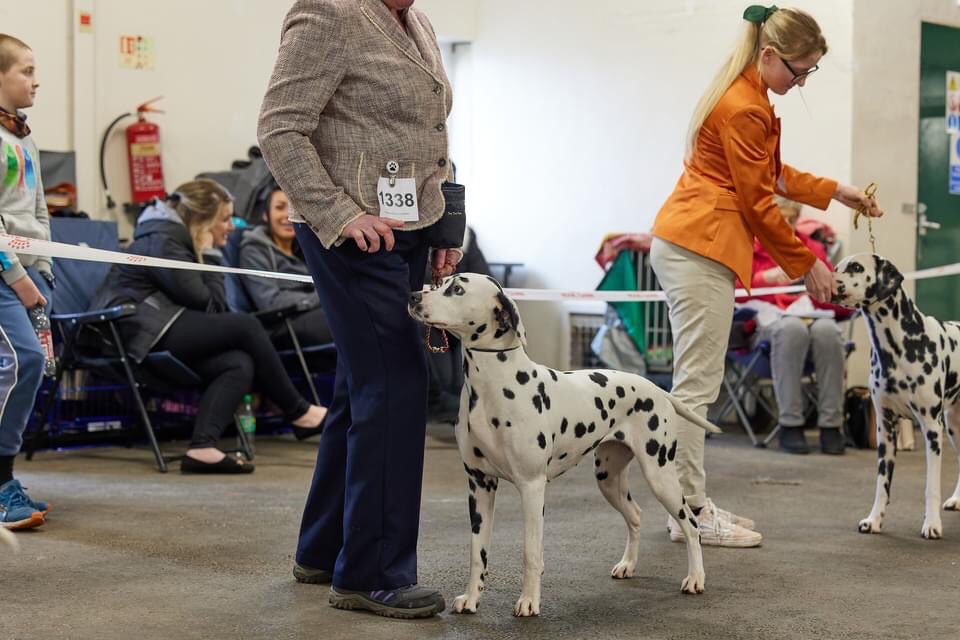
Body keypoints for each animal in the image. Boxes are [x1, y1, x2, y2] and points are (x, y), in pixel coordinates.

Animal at [409, 273, 721, 617]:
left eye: (457, 289)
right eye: (440, 283)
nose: (413, 296)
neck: (491, 386)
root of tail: (657, 389)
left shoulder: (532, 487)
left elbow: (531, 552)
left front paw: (529, 601)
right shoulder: (479, 485)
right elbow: (477, 552)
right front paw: (471, 598)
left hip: (660, 475)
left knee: (691, 524)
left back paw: (696, 578)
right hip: (609, 479)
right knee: (636, 515)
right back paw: (628, 565)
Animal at [833, 254, 960, 539]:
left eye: (856, 267)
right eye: (836, 267)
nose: (831, 281)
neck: (898, 344)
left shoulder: (932, 429)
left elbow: (931, 487)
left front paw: (932, 524)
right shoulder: (886, 427)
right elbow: (882, 484)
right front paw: (874, 520)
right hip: (954, 427)